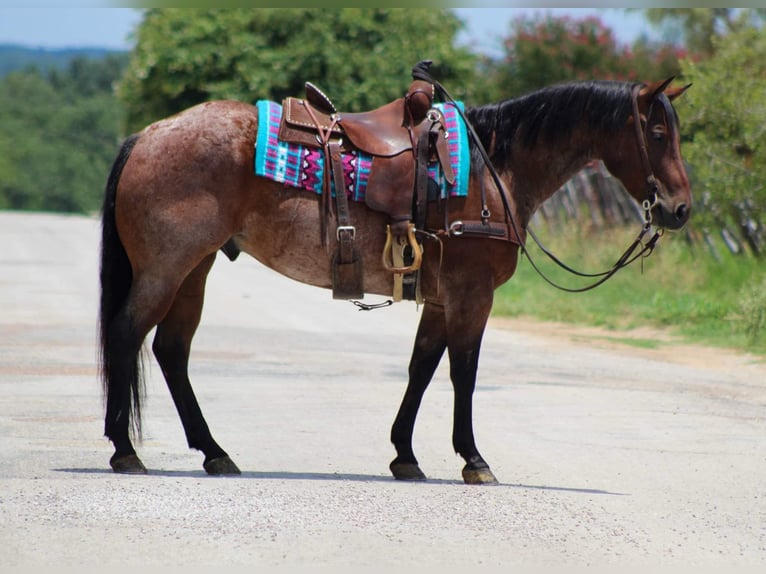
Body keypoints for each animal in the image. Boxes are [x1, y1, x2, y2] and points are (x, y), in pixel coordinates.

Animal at [99, 76, 691, 484]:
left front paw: (404, 455)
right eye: (659, 133)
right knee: (128, 334)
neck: (493, 170)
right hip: (166, 269)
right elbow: (463, 373)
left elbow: (421, 369)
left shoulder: (441, 300)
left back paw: (214, 451)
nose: (680, 209)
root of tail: (146, 135)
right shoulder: (471, 296)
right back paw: (125, 450)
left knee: (171, 350)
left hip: (193, 270)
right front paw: (473, 459)